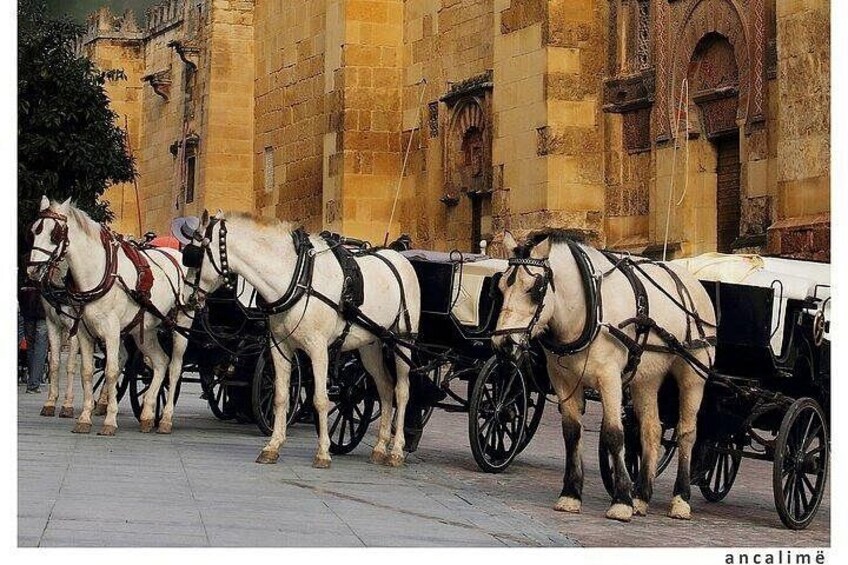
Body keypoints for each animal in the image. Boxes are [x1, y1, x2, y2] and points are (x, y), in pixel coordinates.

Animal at [27, 196, 191, 435]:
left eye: (54, 234)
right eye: (34, 231)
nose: (33, 270)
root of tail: (178, 254)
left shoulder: (110, 330)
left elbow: (111, 370)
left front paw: (109, 420)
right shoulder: (80, 330)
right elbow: (83, 370)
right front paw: (84, 417)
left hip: (180, 325)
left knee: (174, 368)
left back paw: (166, 419)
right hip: (144, 329)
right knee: (161, 363)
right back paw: (147, 414)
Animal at [184, 210, 421, 469]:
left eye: (195, 256)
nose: (186, 298)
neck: (297, 276)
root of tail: (399, 257)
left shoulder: (319, 349)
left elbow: (320, 399)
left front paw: (323, 452)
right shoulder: (279, 347)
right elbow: (280, 396)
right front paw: (273, 446)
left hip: (402, 340)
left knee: (402, 391)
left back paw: (396, 450)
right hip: (371, 345)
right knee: (385, 388)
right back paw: (379, 448)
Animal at [492, 230, 716, 522]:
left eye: (535, 289)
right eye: (500, 287)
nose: (503, 343)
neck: (587, 307)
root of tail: (692, 281)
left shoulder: (609, 378)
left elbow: (613, 434)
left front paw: (621, 501)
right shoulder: (563, 380)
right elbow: (571, 432)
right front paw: (571, 494)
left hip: (693, 373)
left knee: (686, 432)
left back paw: (680, 499)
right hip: (646, 378)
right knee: (651, 429)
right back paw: (642, 496)